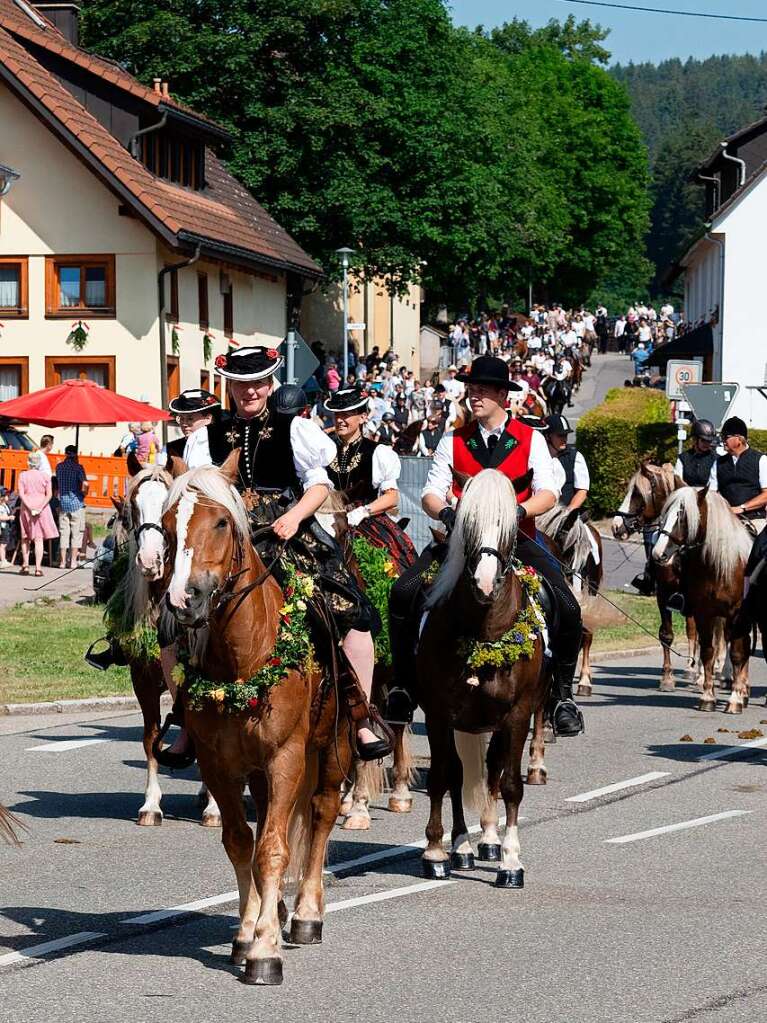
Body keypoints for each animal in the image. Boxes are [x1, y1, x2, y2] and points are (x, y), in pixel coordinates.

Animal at [107, 456, 221, 830]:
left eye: (169, 509)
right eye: (132, 508)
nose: (149, 561)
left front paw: (215, 810)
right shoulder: (143, 679)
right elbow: (150, 737)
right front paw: (151, 804)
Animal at [417, 470, 548, 887]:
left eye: (508, 529)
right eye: (467, 524)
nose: (485, 584)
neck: (484, 630)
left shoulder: (518, 714)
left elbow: (510, 785)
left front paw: (510, 861)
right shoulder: (438, 713)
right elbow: (442, 777)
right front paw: (436, 852)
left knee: (492, 771)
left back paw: (489, 840)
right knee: (459, 775)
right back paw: (462, 847)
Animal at [650, 484, 752, 712]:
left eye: (683, 516)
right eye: (664, 514)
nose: (658, 553)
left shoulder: (737, 614)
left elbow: (737, 653)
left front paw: (734, 699)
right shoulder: (702, 612)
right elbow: (706, 651)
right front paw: (707, 696)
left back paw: (742, 691)